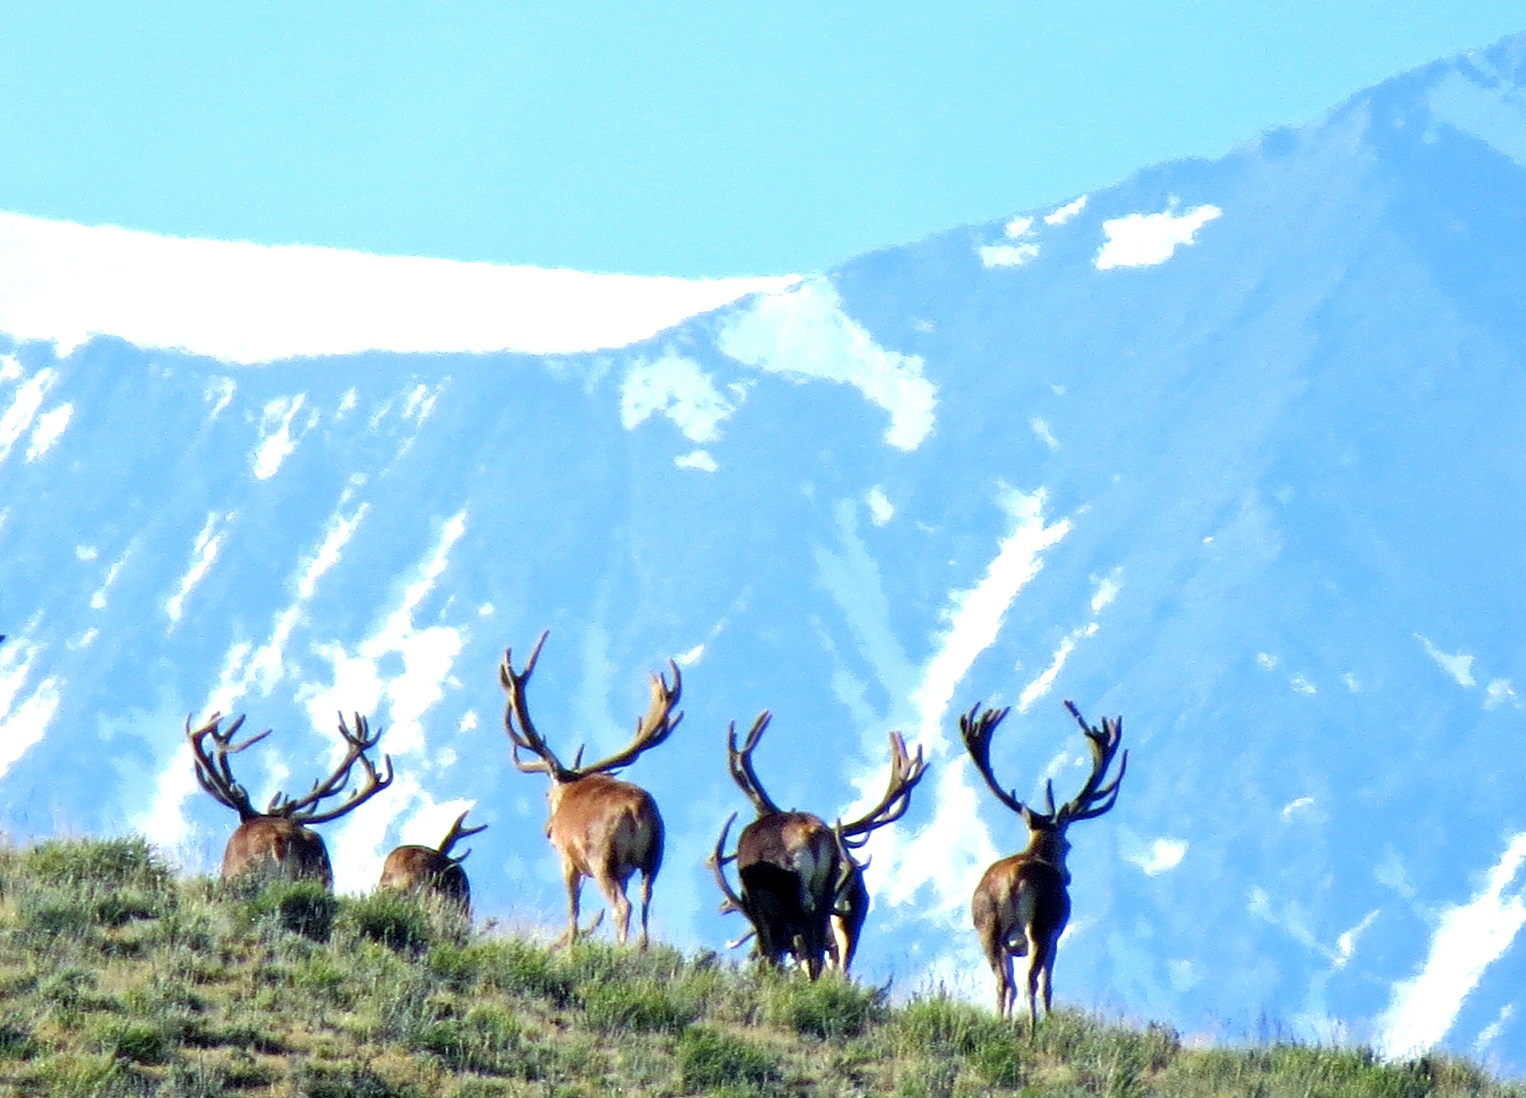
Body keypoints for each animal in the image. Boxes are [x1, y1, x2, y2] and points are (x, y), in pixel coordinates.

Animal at [500, 631, 680, 945]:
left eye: (546, 795)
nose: (548, 831)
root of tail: (636, 810)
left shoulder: (567, 859)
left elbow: (573, 912)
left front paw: (571, 950)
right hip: (653, 856)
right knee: (646, 900)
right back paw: (641, 948)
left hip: (601, 857)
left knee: (622, 907)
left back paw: (622, 949)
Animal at [705, 710, 927, 976]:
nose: (752, 955)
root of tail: (812, 831)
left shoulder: (760, 908)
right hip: (827, 892)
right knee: (822, 951)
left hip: (795, 893)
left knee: (809, 948)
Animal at [958, 698, 1129, 1030]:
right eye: (1068, 845)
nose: (1068, 876)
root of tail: (1011, 881)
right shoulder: (1057, 933)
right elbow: (1049, 983)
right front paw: (1049, 1017)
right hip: (1041, 924)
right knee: (1030, 980)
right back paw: (1035, 1026)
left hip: (987, 926)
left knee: (1003, 981)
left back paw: (1003, 1021)